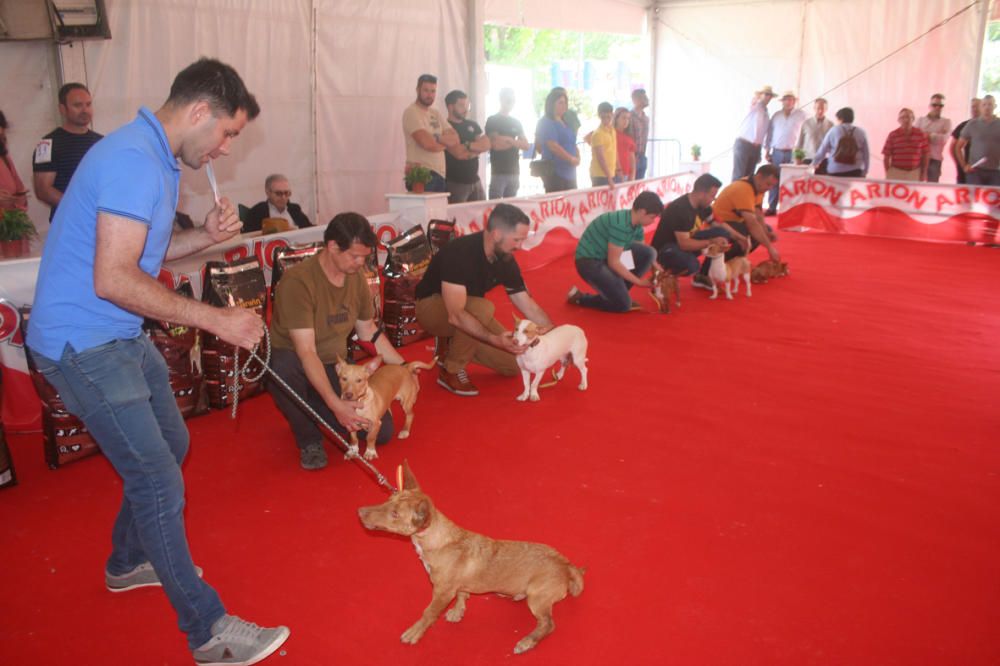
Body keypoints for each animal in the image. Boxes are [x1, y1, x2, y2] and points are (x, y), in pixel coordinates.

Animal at [358, 460, 580, 652]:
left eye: (395, 514)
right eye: (388, 500)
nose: (360, 512)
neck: (438, 540)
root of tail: (567, 567)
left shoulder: (442, 593)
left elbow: (429, 613)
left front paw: (415, 632)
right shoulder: (455, 587)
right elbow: (462, 595)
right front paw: (458, 611)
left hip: (537, 598)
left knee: (548, 624)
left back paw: (528, 642)